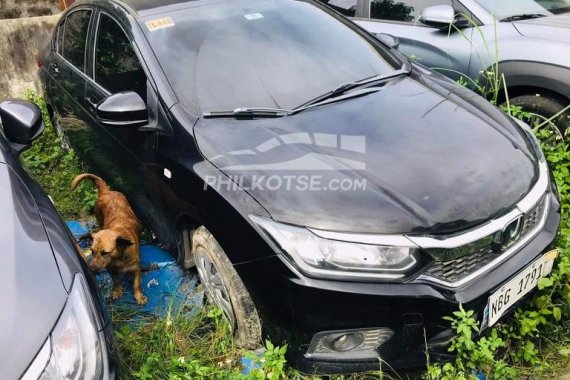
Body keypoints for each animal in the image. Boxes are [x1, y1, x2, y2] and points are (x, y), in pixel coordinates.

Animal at [72, 175, 148, 306]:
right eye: (92, 251)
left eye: (105, 253)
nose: (91, 269)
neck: (119, 258)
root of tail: (106, 191)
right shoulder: (110, 269)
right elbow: (116, 280)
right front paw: (117, 290)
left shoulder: (136, 268)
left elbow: (136, 284)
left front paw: (139, 296)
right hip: (99, 218)